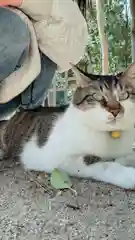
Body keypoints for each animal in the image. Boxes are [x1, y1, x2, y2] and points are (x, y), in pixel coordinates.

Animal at [1, 63, 135, 189]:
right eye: (97, 96)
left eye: (124, 96)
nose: (115, 111)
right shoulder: (63, 159)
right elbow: (104, 164)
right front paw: (129, 175)